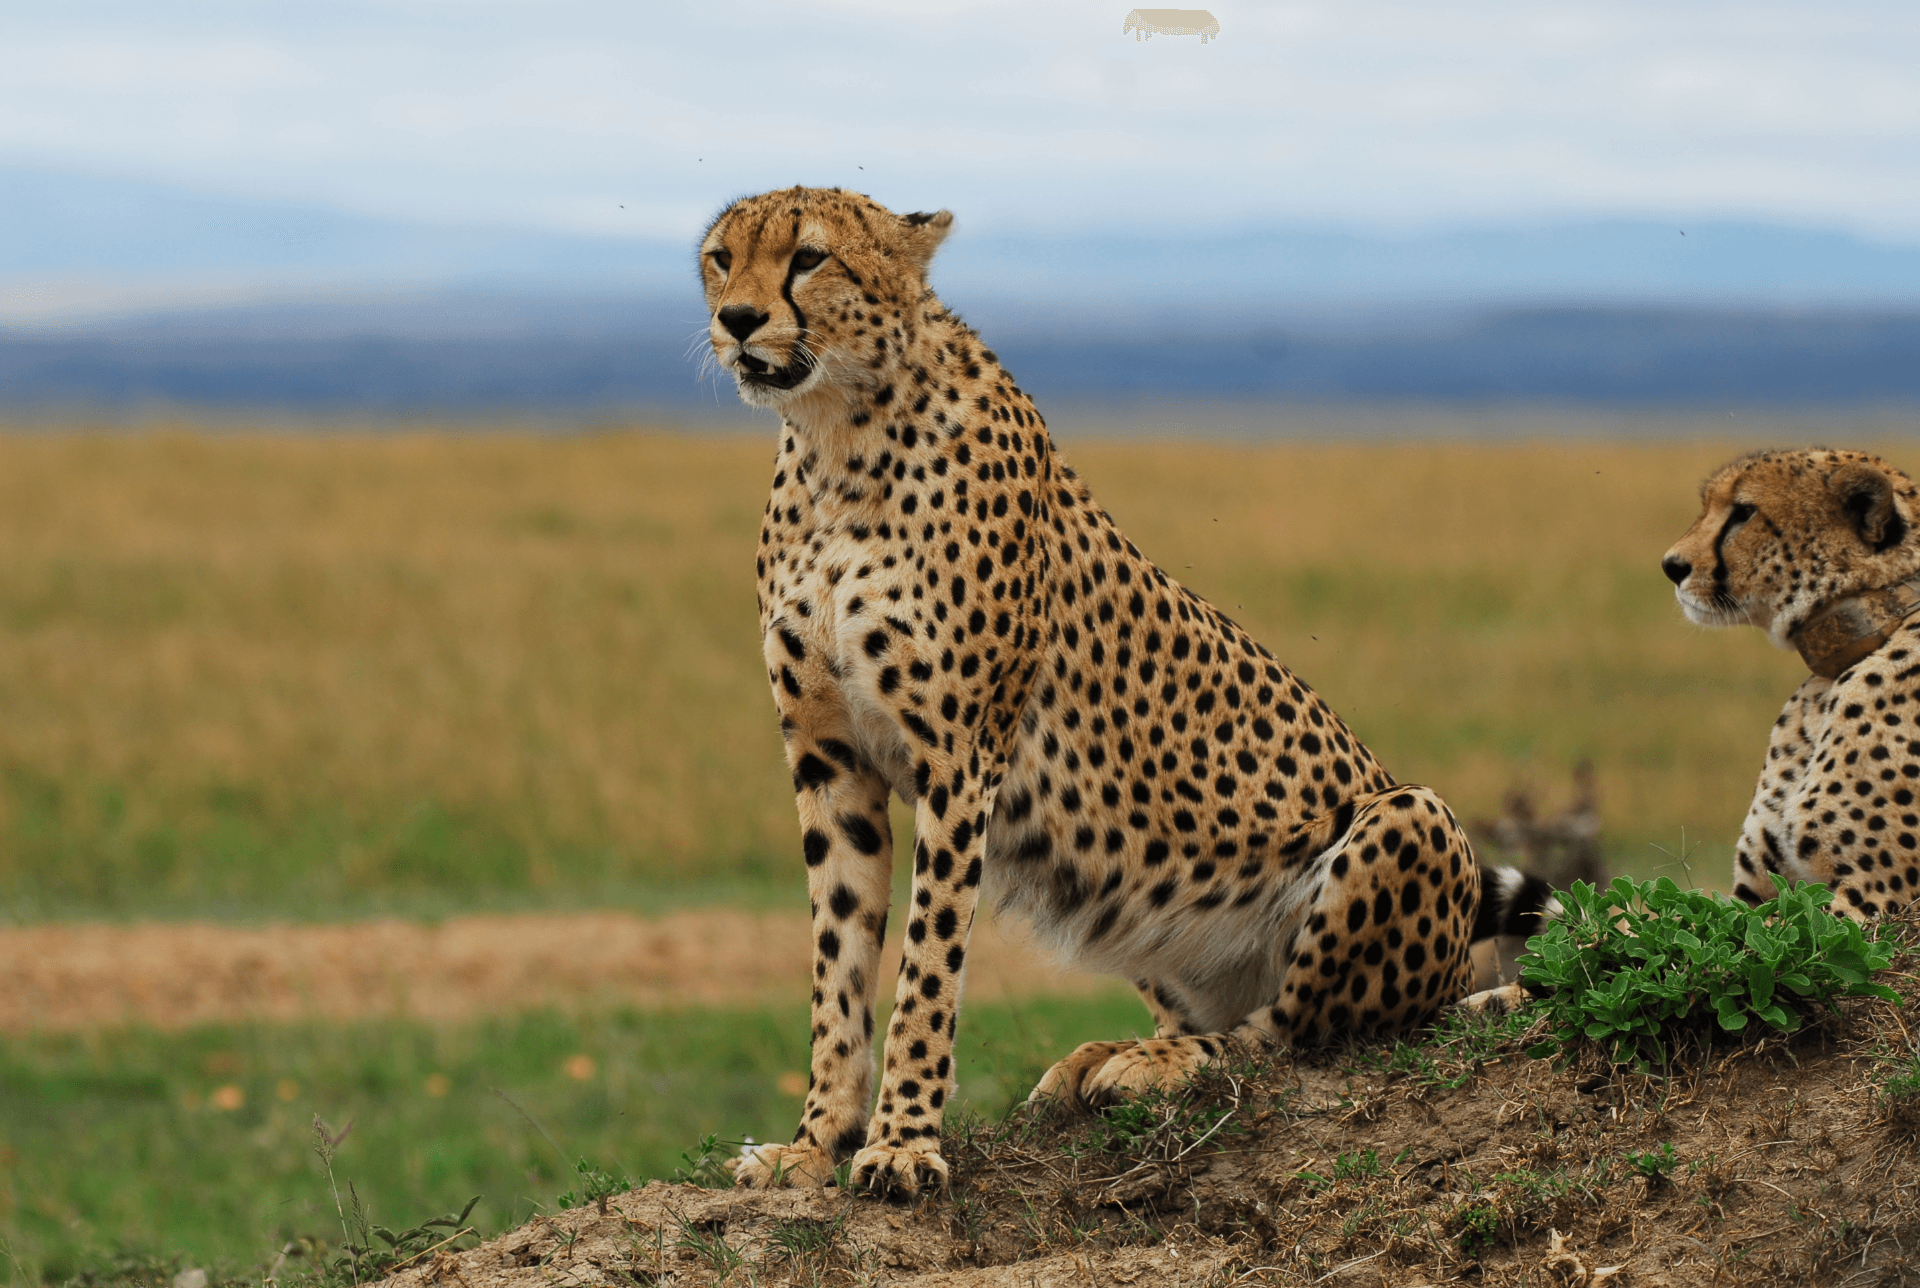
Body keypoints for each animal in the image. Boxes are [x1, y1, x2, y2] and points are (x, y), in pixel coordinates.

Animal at [700, 185, 1557, 1196]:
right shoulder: (829, 761)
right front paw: (814, 1141)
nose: (736, 319)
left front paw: (902, 1141)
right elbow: (839, 964)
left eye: (809, 258)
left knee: (1293, 1041)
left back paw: (1154, 1063)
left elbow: (927, 965)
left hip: (1409, 816)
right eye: (720, 258)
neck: (836, 439)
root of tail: (1460, 963)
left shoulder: (961, 760)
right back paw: (1099, 1057)